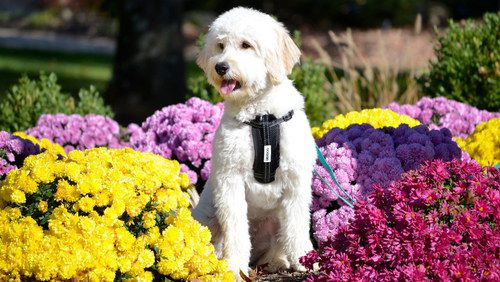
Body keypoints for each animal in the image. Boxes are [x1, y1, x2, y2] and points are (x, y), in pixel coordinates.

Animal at [192, 6, 316, 278]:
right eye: (220, 45)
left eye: (246, 45)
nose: (221, 67)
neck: (262, 118)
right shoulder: (230, 181)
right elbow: (236, 229)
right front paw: (235, 267)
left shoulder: (296, 181)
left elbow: (297, 225)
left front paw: (305, 259)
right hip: (207, 215)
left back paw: (278, 261)